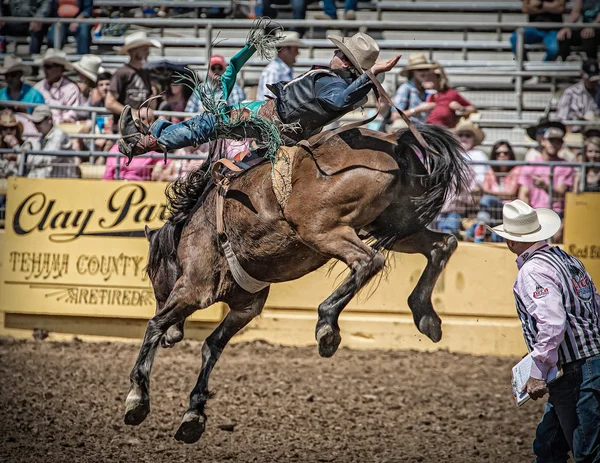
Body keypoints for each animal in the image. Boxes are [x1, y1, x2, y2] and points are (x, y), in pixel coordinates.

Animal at [123, 125, 468, 444]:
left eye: (152, 274)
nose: (174, 339)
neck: (196, 227)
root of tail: (394, 141)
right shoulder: (246, 307)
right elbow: (212, 346)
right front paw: (193, 416)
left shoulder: (192, 290)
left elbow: (155, 324)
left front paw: (137, 401)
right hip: (395, 223)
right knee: (442, 245)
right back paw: (425, 315)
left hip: (322, 228)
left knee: (368, 260)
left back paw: (327, 325)